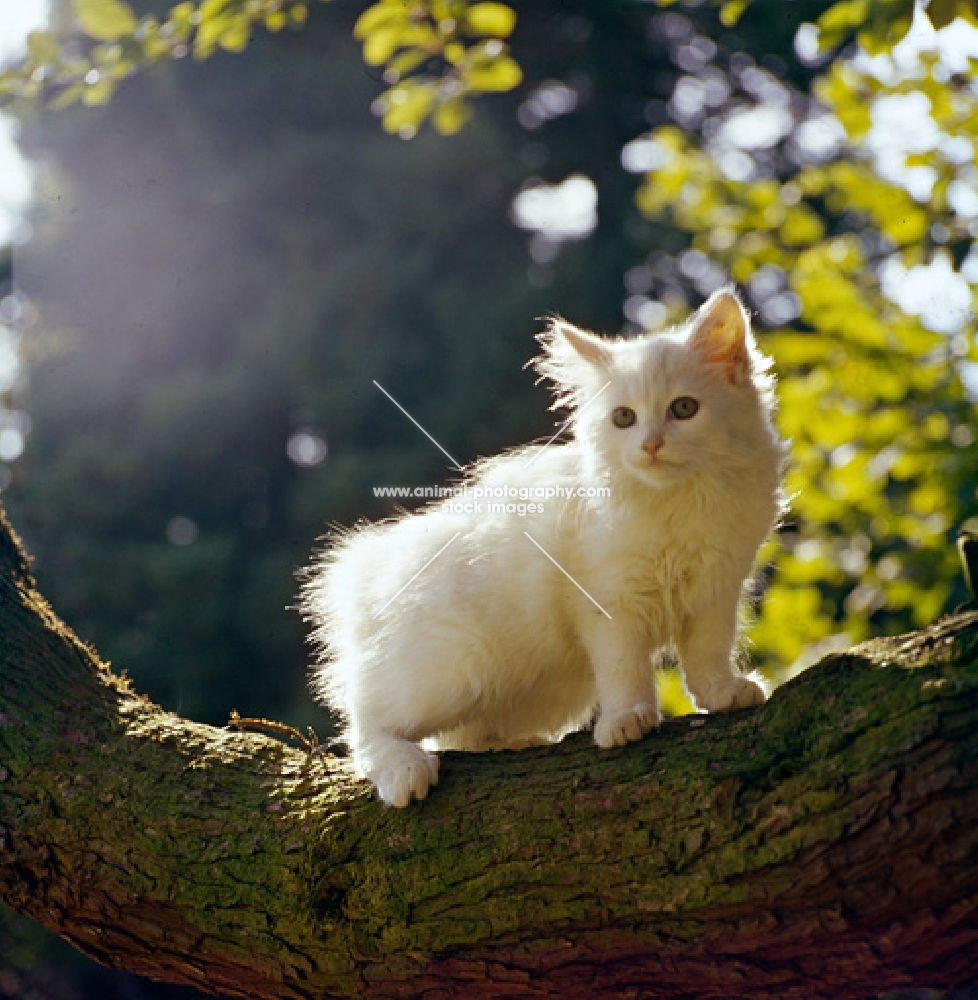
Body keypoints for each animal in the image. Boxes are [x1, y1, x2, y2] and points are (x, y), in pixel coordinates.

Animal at [304, 288, 784, 804]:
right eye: (624, 418)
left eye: (683, 409)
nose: (651, 445)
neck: (677, 502)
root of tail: (367, 572)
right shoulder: (609, 602)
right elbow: (624, 669)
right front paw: (626, 721)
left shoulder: (718, 587)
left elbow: (708, 654)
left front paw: (722, 694)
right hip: (457, 667)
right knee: (367, 721)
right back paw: (405, 771)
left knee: (466, 735)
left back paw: (516, 744)